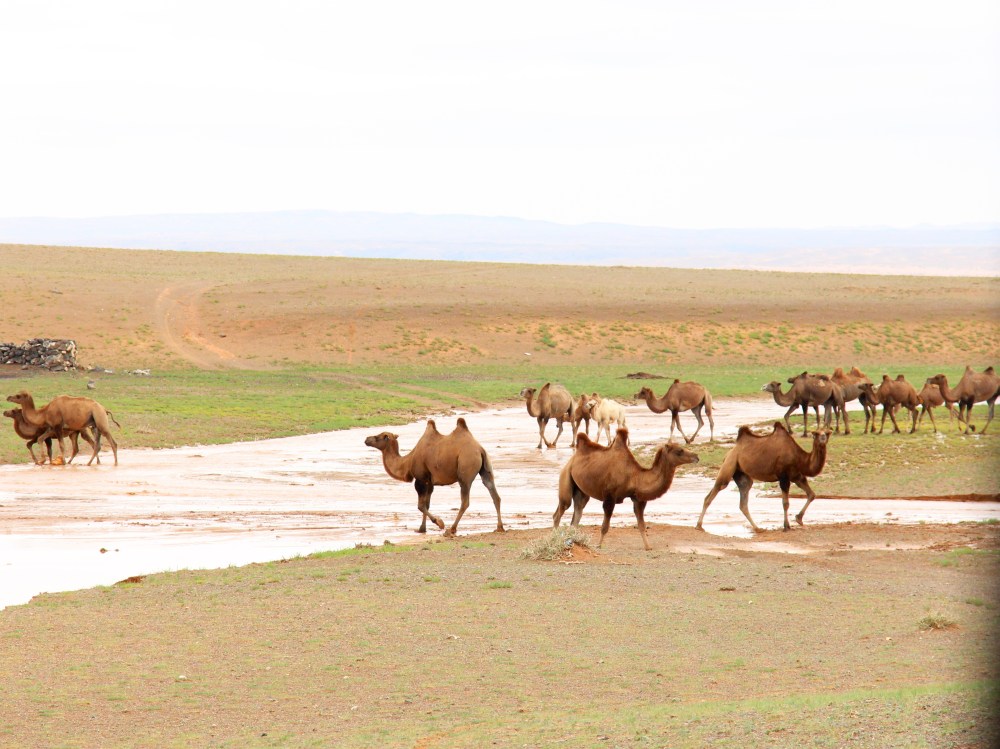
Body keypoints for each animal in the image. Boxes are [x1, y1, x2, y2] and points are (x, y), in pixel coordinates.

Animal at [364, 418, 504, 537]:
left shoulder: (420, 479)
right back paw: (500, 527)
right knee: (494, 494)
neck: (407, 462)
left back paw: (451, 529)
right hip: (486, 469)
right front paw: (422, 529)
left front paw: (439, 523)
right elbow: (427, 504)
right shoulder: (430, 482)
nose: (366, 439)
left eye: (378, 437)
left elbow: (420, 505)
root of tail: (480, 450)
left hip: (465, 470)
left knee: (465, 501)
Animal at [552, 427, 698, 550]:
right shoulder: (610, 497)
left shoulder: (638, 499)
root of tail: (572, 459)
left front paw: (648, 546)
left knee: (577, 513)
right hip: (565, 478)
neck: (634, 476)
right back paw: (555, 538)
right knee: (560, 511)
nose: (696, 456)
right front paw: (598, 546)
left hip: (581, 491)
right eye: (679, 451)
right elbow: (605, 526)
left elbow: (642, 525)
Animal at [697, 422, 830, 532]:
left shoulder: (797, 476)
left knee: (744, 499)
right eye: (816, 434)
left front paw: (799, 519)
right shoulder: (783, 477)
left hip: (742, 474)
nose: (823, 437)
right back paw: (699, 526)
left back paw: (758, 528)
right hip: (729, 465)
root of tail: (730, 452)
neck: (799, 458)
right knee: (713, 492)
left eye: (826, 433)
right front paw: (786, 527)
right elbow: (785, 503)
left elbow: (812, 494)